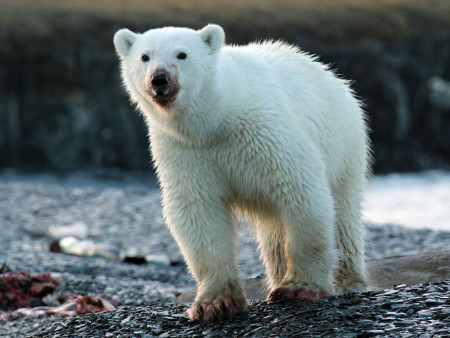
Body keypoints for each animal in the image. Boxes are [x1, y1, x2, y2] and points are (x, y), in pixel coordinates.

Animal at [114, 24, 370, 322]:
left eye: (182, 54)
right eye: (145, 56)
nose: (159, 79)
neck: (217, 118)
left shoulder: (264, 131)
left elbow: (298, 186)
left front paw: (300, 288)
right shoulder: (184, 150)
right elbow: (198, 210)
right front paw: (215, 303)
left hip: (343, 143)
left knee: (343, 213)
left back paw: (348, 280)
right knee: (274, 232)